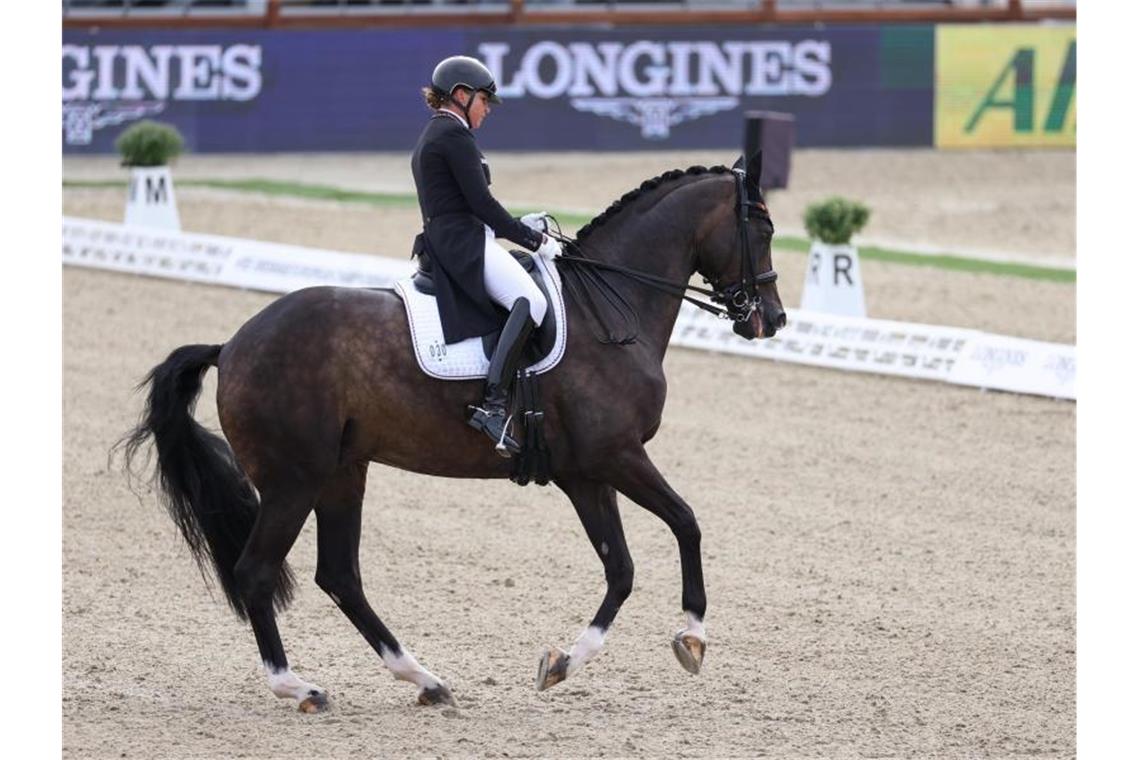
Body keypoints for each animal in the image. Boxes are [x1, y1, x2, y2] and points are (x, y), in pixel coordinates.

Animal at [122, 160, 784, 715]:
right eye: (762, 228)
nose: (771, 320)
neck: (608, 312)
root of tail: (231, 345)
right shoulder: (617, 456)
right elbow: (687, 523)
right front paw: (692, 638)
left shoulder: (585, 474)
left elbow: (620, 568)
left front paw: (561, 664)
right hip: (294, 482)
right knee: (259, 571)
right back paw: (301, 687)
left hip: (342, 474)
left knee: (340, 576)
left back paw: (425, 680)